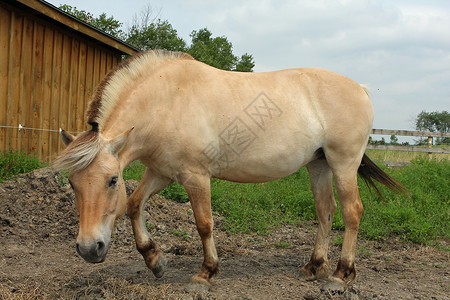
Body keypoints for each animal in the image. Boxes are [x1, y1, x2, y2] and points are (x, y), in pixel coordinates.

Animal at [52, 49, 404, 292]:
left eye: (112, 180)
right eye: (72, 183)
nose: (89, 248)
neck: (167, 100)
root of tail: (360, 88)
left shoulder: (195, 176)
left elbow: (204, 224)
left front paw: (205, 274)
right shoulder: (161, 172)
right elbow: (135, 205)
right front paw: (155, 260)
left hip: (343, 163)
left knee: (352, 211)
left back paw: (340, 276)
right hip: (319, 165)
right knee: (326, 211)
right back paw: (313, 267)